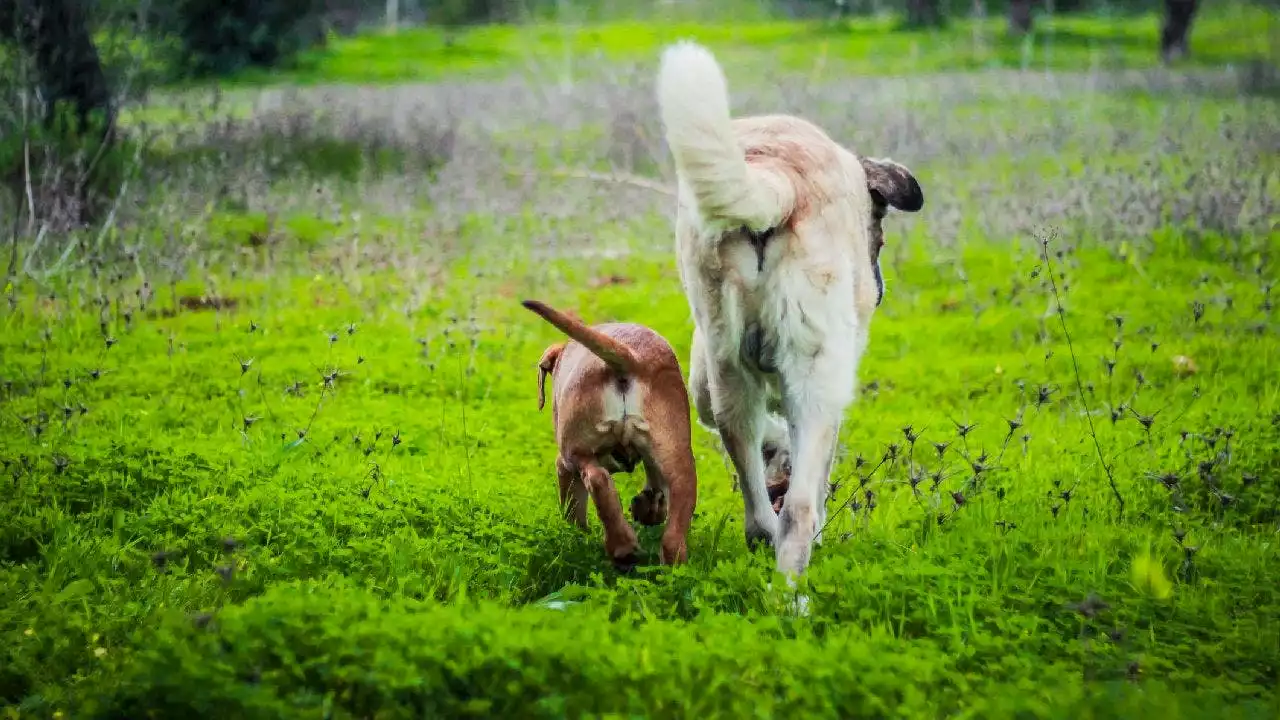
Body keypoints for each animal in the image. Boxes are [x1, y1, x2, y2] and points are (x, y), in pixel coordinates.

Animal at [522, 297, 701, 566]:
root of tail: (629, 356)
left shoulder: (564, 464)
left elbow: (573, 506)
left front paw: (576, 534)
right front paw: (648, 507)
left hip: (577, 452)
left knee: (598, 480)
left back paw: (622, 547)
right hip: (676, 450)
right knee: (679, 505)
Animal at [660, 39, 921, 579]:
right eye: (879, 237)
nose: (878, 291)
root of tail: (775, 174)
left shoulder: (708, 381)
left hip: (725, 363)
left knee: (760, 512)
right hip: (817, 371)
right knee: (799, 511)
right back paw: (793, 589)